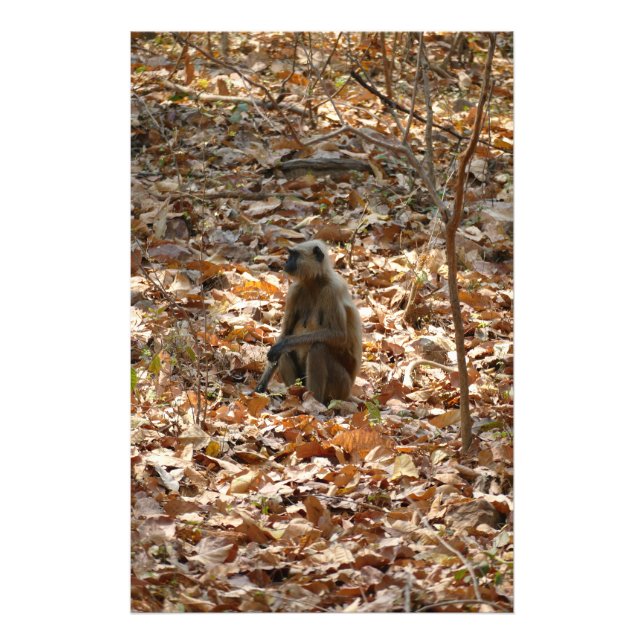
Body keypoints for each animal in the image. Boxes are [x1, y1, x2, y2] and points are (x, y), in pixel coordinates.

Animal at [255, 240, 362, 405]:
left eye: (294, 255)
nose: (286, 262)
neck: (315, 282)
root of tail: (348, 392)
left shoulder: (332, 290)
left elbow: (339, 335)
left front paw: (284, 343)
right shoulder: (294, 291)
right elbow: (284, 335)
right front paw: (260, 387)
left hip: (340, 387)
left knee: (317, 348)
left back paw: (313, 401)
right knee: (284, 353)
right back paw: (294, 395)